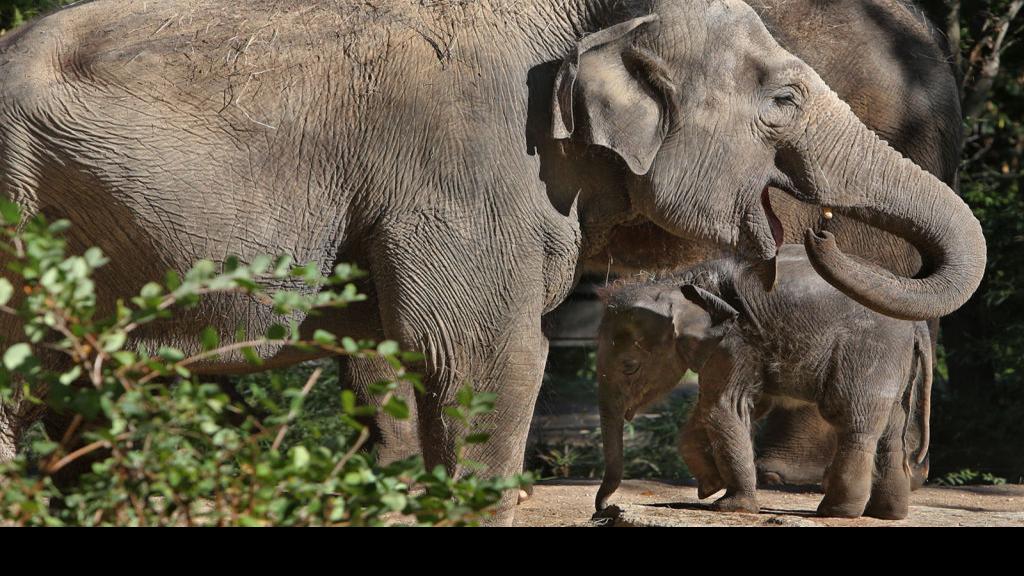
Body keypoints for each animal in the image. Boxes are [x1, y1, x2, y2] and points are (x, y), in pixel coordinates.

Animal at [594, 245, 933, 519]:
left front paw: (730, 506)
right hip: (896, 365)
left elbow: (722, 407)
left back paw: (836, 511)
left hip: (867, 354)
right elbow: (729, 406)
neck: (681, 282)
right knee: (892, 431)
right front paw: (710, 486)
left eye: (629, 367)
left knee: (854, 421)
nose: (602, 508)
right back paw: (887, 514)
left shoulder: (734, 341)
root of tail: (918, 325)